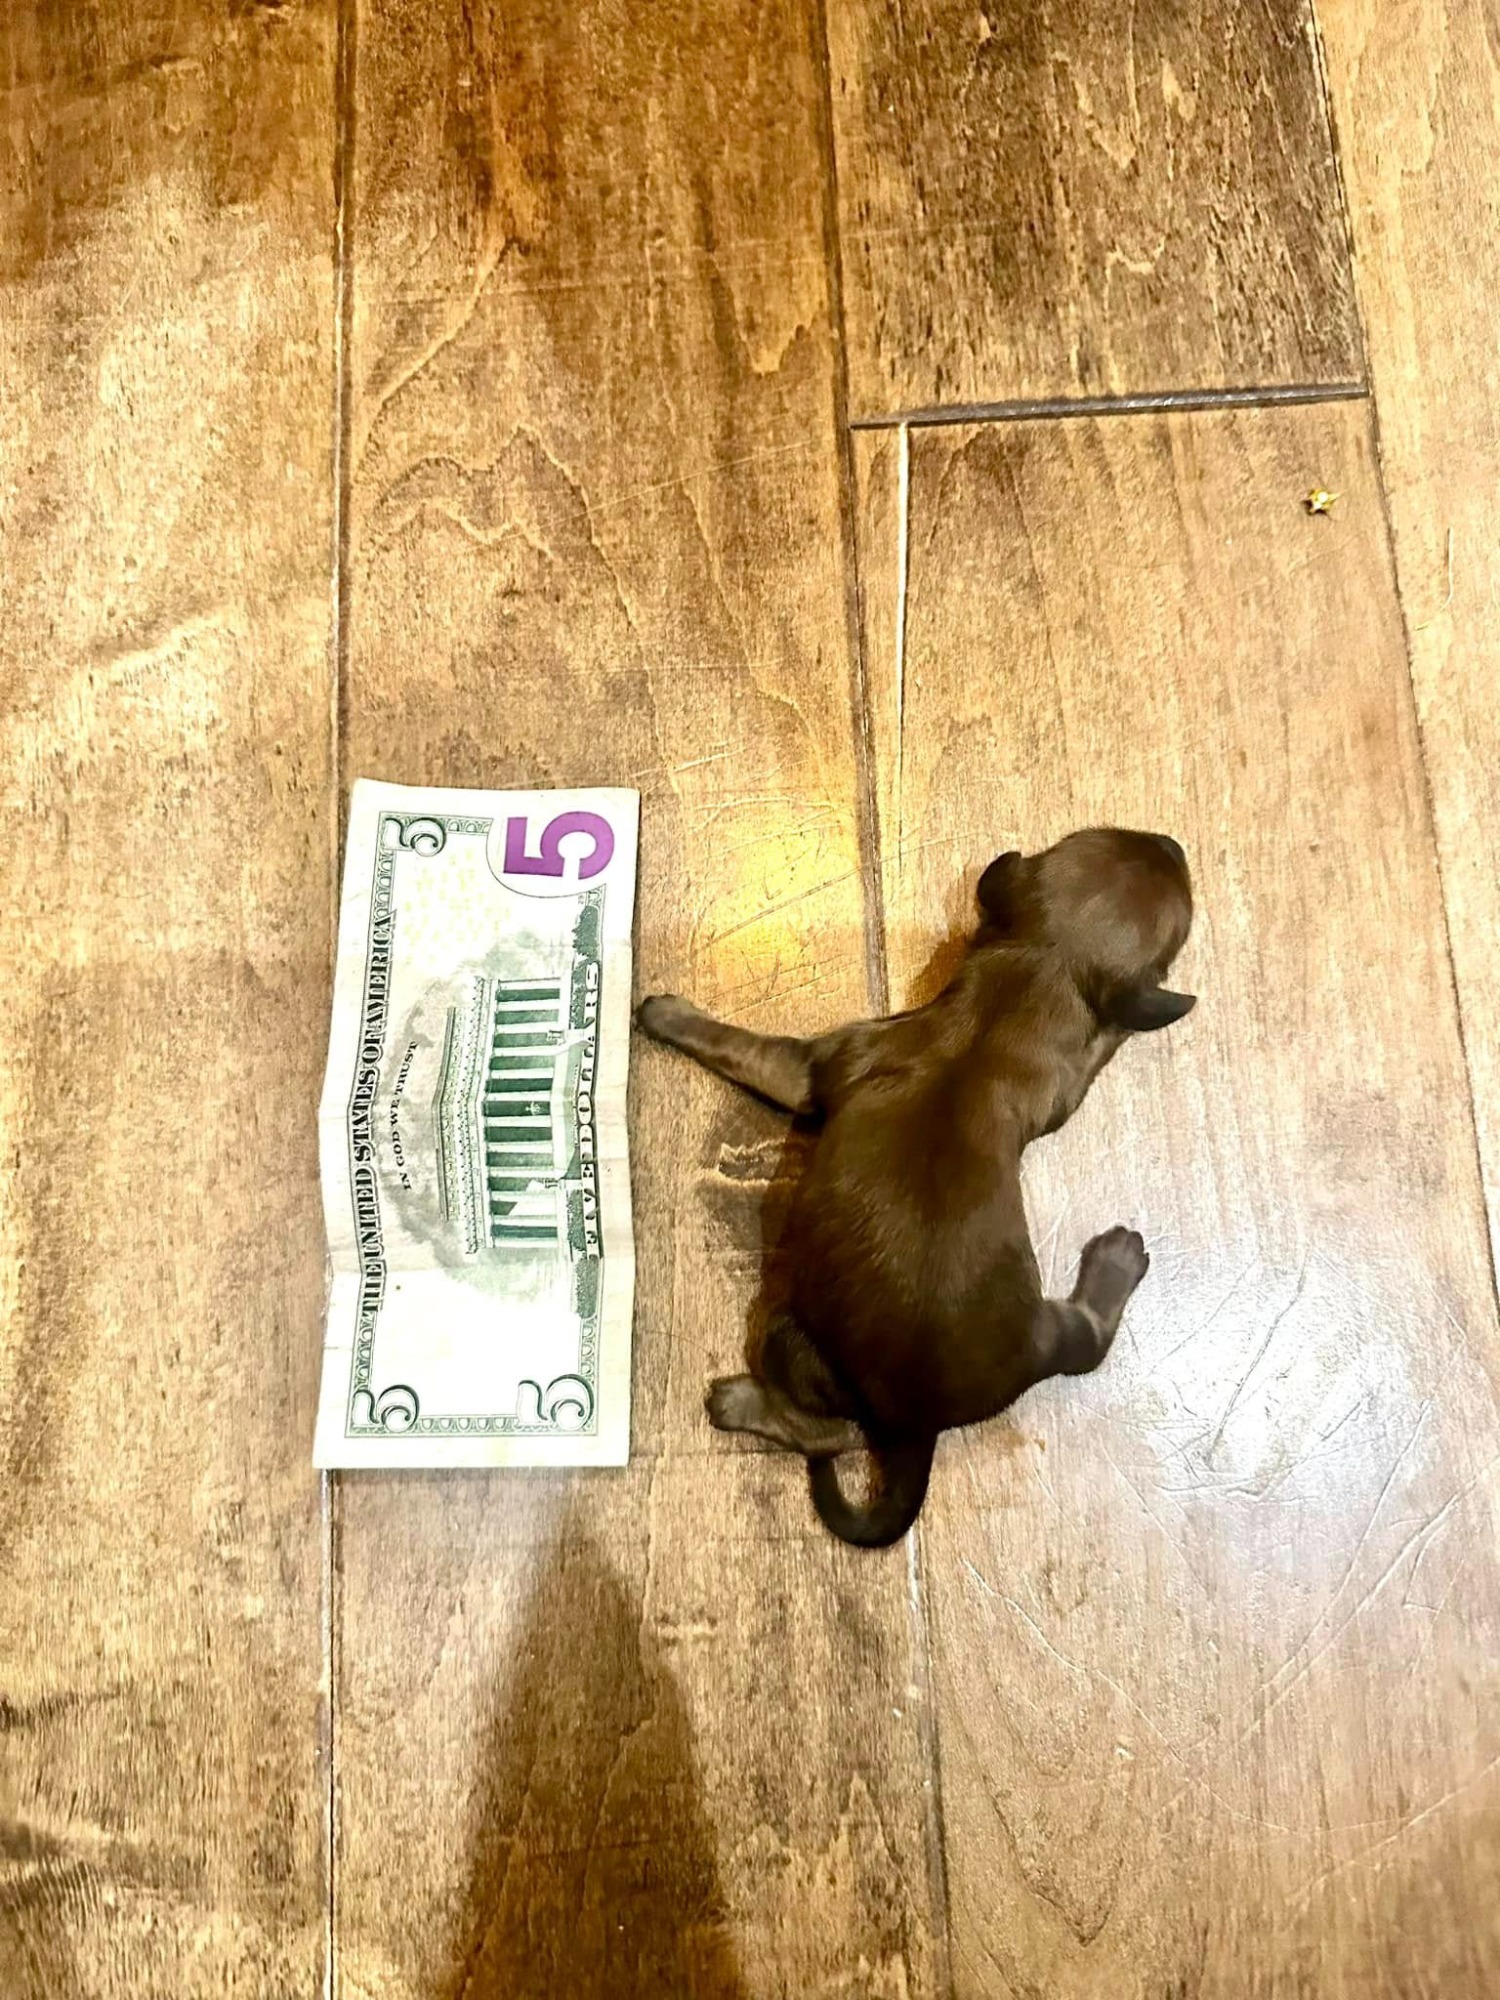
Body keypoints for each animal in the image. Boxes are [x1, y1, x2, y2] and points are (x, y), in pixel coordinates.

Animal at [635, 828, 1195, 1548]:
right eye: (1098, 835)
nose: (1172, 841)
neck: (1021, 994)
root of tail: (920, 1428)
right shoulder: (1063, 1080)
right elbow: (1096, 1048)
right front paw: (1119, 1029)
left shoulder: (811, 1065)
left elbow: (736, 1044)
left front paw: (666, 1015)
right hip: (1049, 1332)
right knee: (1086, 1343)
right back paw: (1115, 1266)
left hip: (792, 1337)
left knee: (832, 1435)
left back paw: (740, 1402)